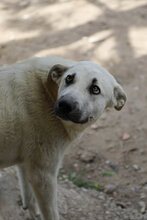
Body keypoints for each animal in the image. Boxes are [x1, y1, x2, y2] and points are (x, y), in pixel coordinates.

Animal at [0, 55, 126, 219]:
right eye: (69, 78)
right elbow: (51, 214)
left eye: (95, 89)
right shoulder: (42, 176)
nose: (65, 104)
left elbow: (29, 200)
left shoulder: (25, 164)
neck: (47, 92)